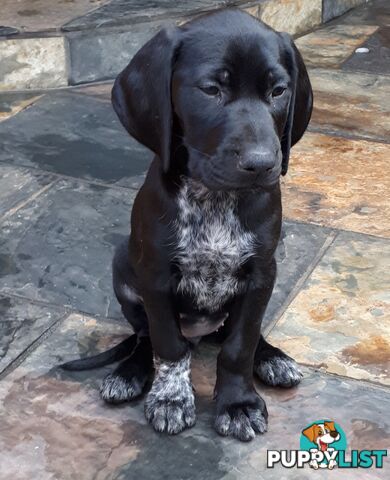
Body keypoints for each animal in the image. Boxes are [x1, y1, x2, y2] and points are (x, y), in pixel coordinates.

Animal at [62, 8, 312, 442]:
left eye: (279, 90)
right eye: (211, 89)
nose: (263, 164)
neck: (214, 199)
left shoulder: (261, 273)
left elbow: (240, 345)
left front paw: (238, 402)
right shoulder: (157, 277)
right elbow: (169, 346)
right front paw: (171, 398)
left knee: (238, 334)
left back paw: (272, 357)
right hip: (124, 272)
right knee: (144, 338)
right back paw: (128, 373)